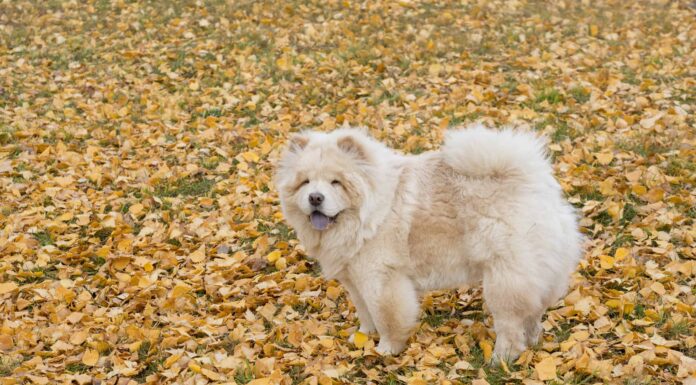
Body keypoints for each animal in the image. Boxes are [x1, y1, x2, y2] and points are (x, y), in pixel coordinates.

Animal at [272, 124, 580, 362]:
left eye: (336, 183)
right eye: (305, 183)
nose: (315, 198)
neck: (369, 213)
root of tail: (535, 182)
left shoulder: (380, 278)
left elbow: (386, 316)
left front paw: (386, 349)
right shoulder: (355, 278)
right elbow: (365, 311)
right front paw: (363, 337)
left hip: (504, 276)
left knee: (511, 322)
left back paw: (501, 358)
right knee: (533, 312)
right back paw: (533, 341)